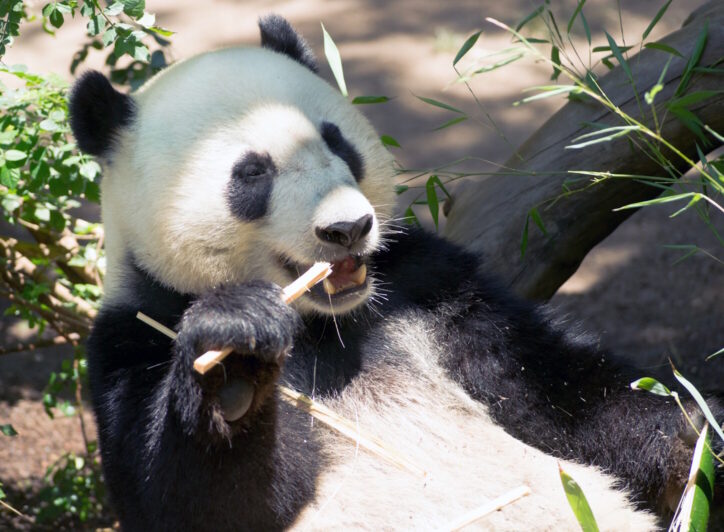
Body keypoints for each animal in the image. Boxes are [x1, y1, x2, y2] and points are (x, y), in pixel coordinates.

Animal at [68, 14, 720, 528]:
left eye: (337, 141)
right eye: (252, 174)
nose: (347, 228)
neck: (327, 321)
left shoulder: (425, 287)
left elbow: (560, 394)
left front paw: (695, 434)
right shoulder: (138, 332)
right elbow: (195, 500)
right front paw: (234, 363)